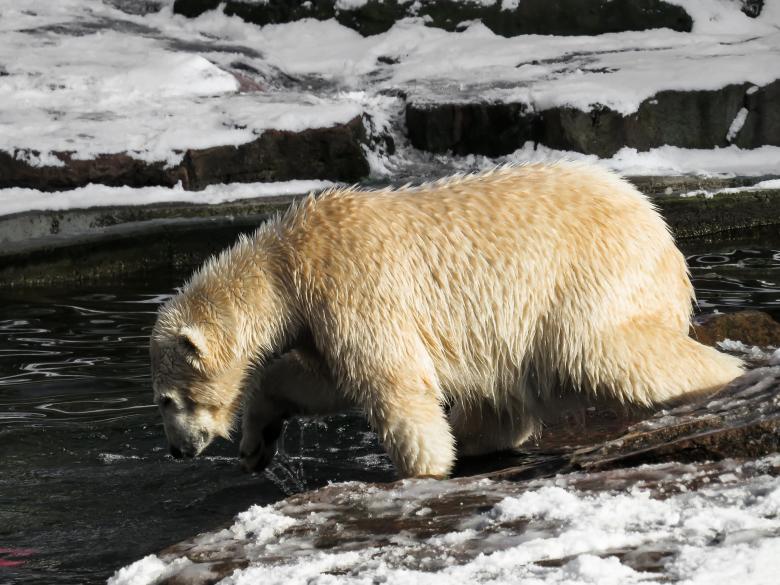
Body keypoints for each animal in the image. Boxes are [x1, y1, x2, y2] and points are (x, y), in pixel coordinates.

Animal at [149, 162, 744, 478]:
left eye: (166, 399)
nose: (176, 450)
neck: (288, 263)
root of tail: (665, 239)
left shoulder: (353, 283)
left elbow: (391, 379)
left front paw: (423, 470)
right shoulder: (320, 315)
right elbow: (315, 379)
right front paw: (256, 446)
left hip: (588, 278)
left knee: (601, 351)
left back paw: (727, 380)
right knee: (508, 392)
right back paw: (478, 435)